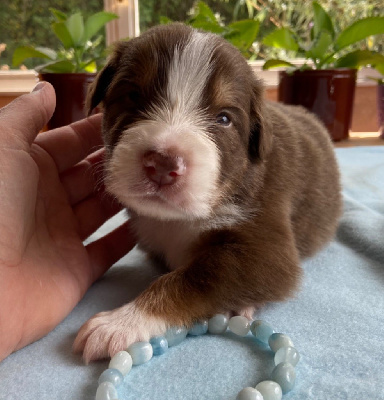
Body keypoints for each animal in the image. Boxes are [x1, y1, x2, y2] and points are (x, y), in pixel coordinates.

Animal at [74, 24, 342, 362]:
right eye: (133, 96)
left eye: (224, 118)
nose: (162, 164)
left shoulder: (267, 246)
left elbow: (191, 278)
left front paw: (120, 323)